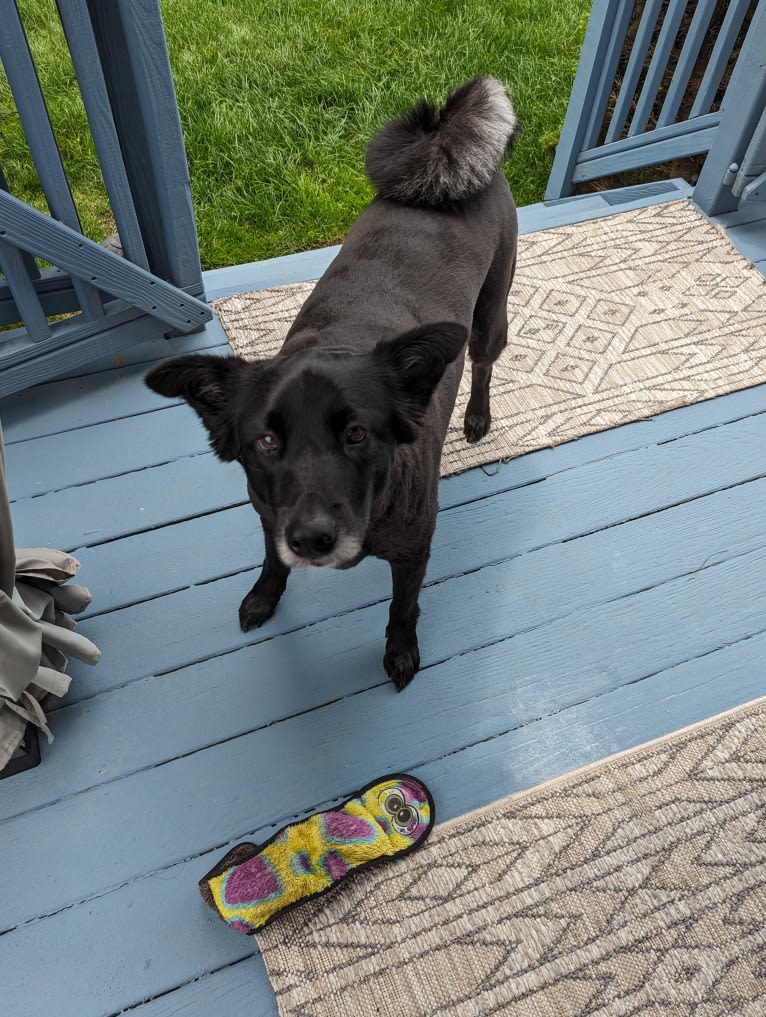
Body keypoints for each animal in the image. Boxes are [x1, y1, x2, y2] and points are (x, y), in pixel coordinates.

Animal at [146, 75, 516, 687]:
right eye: (266, 442)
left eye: (358, 434)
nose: (313, 540)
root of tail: (441, 151)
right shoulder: (270, 515)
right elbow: (273, 561)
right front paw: (263, 597)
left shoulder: (415, 550)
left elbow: (403, 606)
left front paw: (400, 651)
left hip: (490, 315)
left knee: (484, 362)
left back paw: (477, 416)